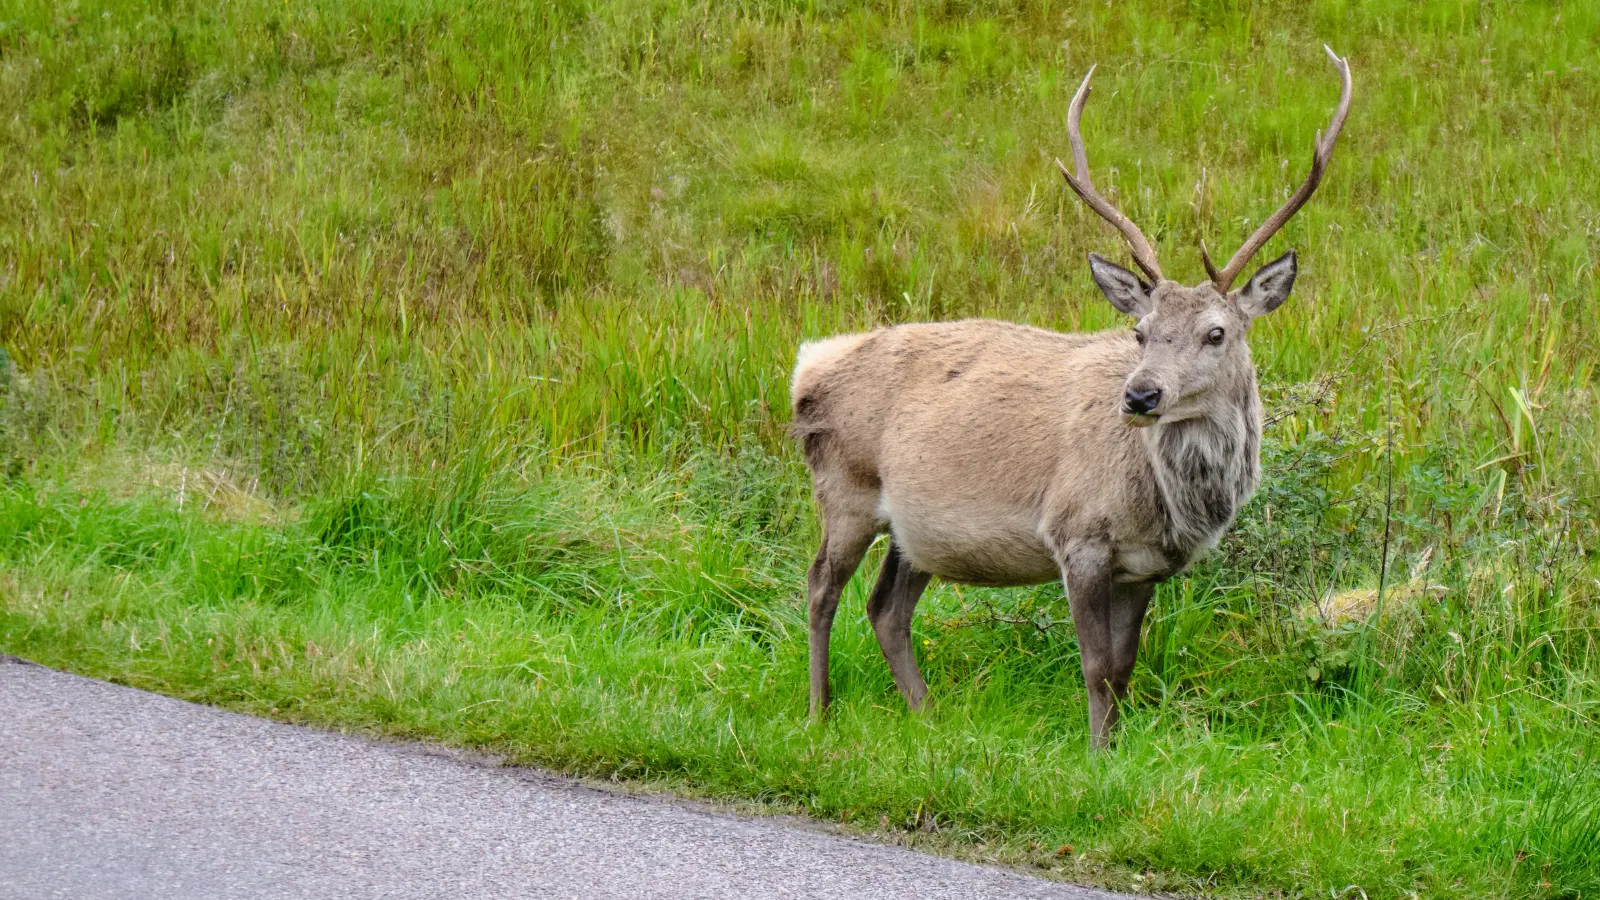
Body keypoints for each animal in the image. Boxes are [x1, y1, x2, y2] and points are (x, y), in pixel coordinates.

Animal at [790, 47, 1352, 747]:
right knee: (820, 586)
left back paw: (928, 717)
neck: (1168, 502)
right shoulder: (1076, 534)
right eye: (1140, 331)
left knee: (885, 607)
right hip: (845, 486)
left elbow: (1125, 668)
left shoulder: (1145, 565)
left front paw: (1115, 750)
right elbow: (1095, 666)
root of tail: (807, 369)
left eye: (1216, 332)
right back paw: (819, 712)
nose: (1140, 395)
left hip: (914, 527)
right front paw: (1094, 755)